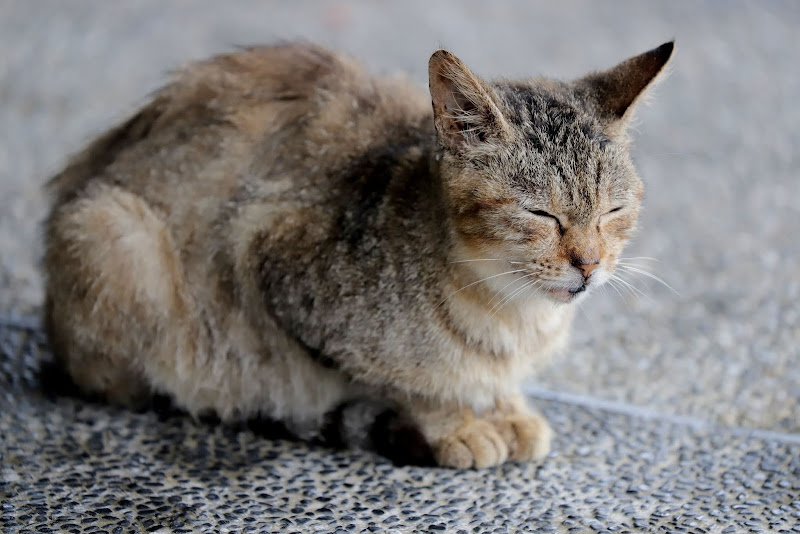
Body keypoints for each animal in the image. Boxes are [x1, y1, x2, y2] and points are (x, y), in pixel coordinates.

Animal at [42, 40, 668, 468]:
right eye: (542, 215)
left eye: (612, 211)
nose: (589, 265)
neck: (513, 314)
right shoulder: (265, 254)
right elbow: (407, 380)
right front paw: (456, 421)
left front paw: (505, 406)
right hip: (114, 233)